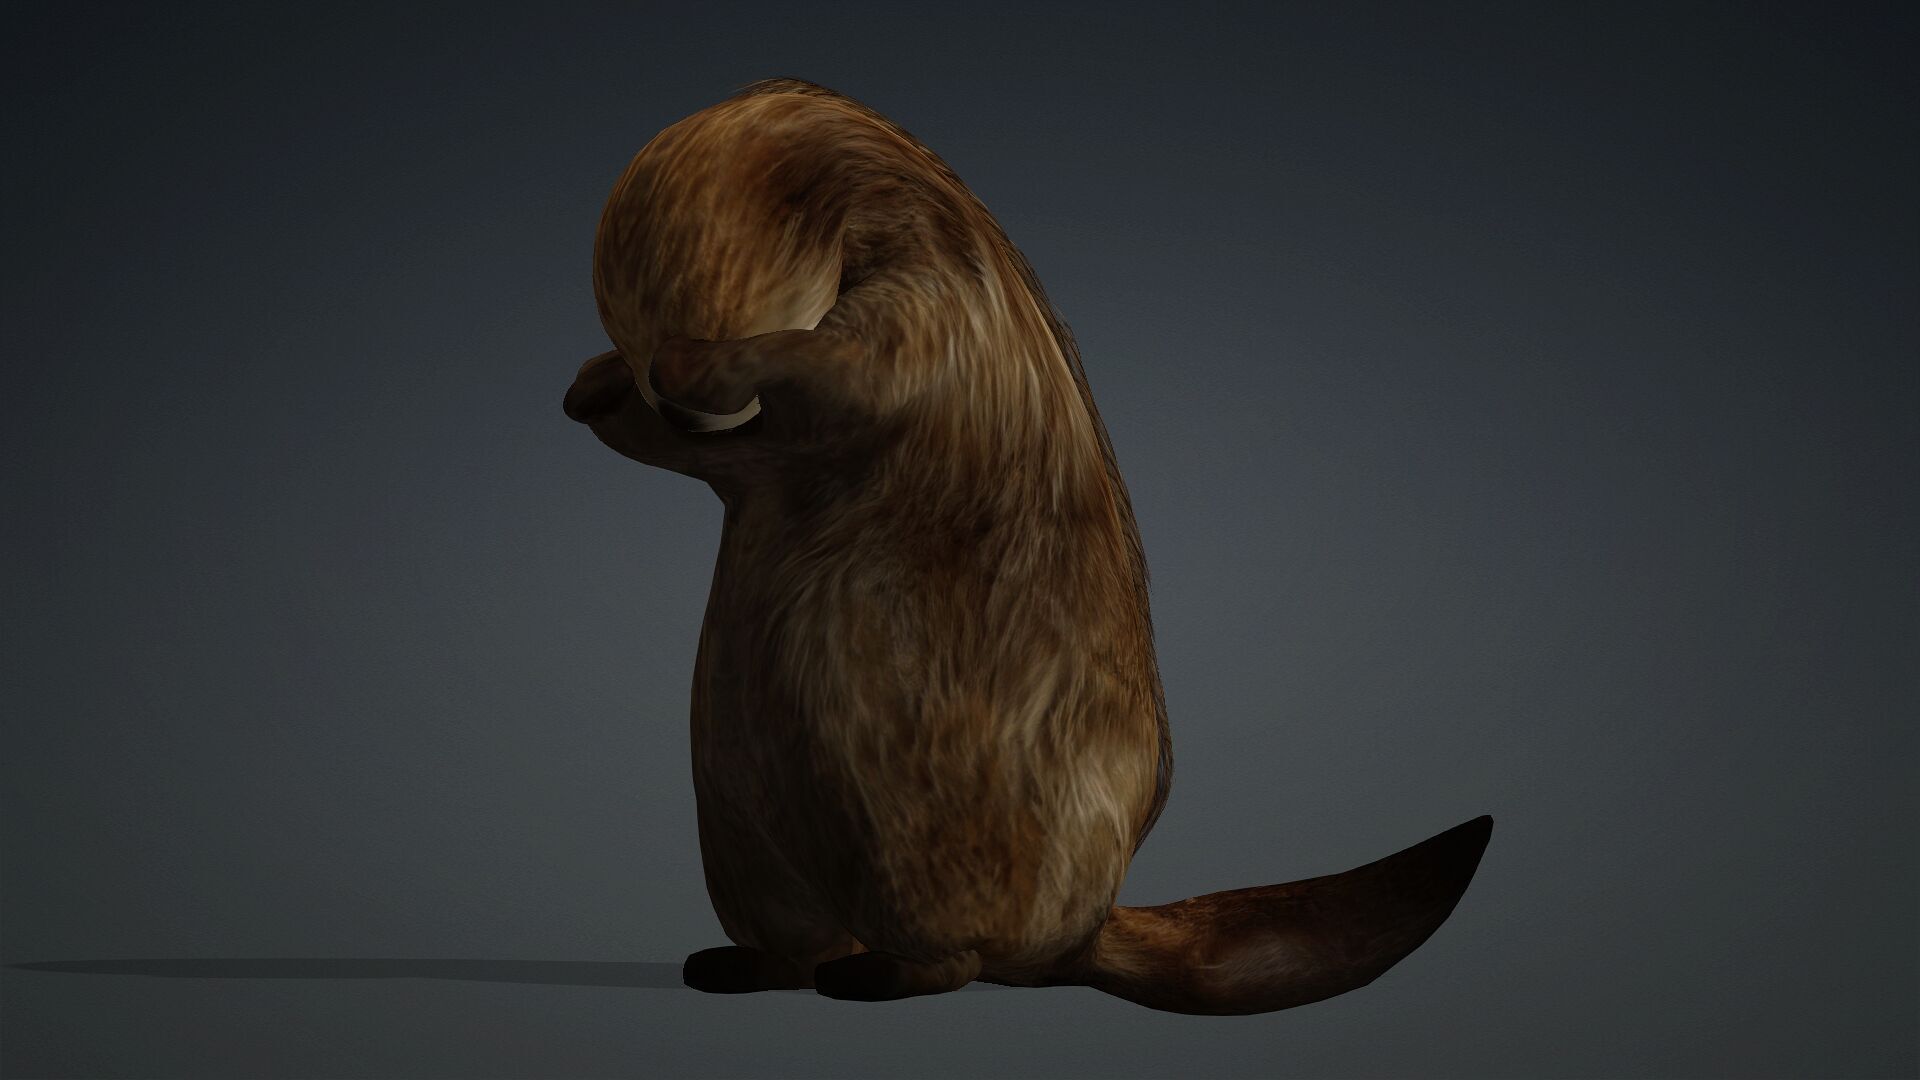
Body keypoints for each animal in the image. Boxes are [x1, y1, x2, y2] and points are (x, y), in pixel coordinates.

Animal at [561, 78, 1491, 1014]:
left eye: (711, 301)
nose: (673, 394)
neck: (900, 201)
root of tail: (1090, 935)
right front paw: (596, 385)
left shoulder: (941, 304)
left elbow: (855, 365)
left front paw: (692, 370)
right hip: (741, 838)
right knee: (796, 941)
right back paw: (732, 965)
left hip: (916, 854)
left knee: (953, 957)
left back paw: (872, 975)